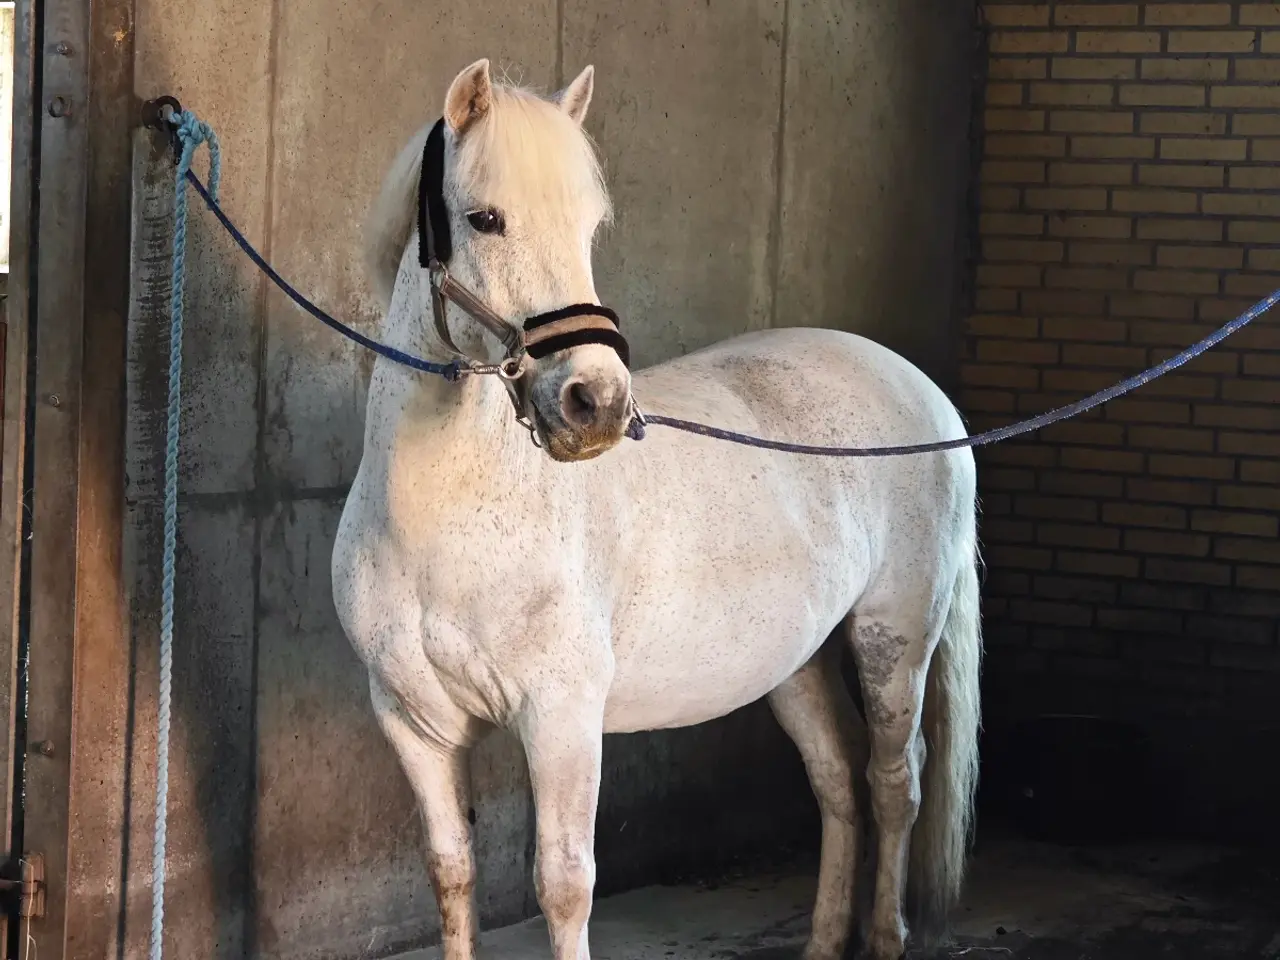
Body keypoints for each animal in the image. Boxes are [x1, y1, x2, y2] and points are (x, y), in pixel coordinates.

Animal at [332, 58, 982, 960]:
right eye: (485, 219)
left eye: (589, 227)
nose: (596, 404)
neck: (437, 521)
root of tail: (922, 390)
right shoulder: (413, 724)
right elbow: (451, 872)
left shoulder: (562, 717)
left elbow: (564, 886)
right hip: (796, 660)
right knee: (837, 780)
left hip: (897, 636)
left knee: (895, 782)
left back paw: (887, 934)